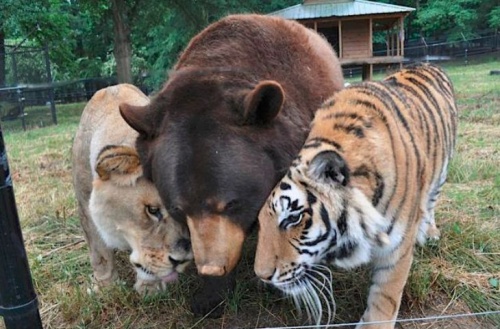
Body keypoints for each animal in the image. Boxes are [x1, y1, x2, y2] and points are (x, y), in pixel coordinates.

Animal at [71, 84, 192, 292]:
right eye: (152, 210)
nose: (182, 260)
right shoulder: (85, 204)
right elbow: (99, 252)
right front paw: (105, 286)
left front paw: (150, 287)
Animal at [254, 62, 458, 326]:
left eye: (293, 218)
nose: (262, 276)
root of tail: (428, 63)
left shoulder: (397, 249)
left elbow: (385, 297)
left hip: (442, 170)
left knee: (431, 200)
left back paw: (430, 232)